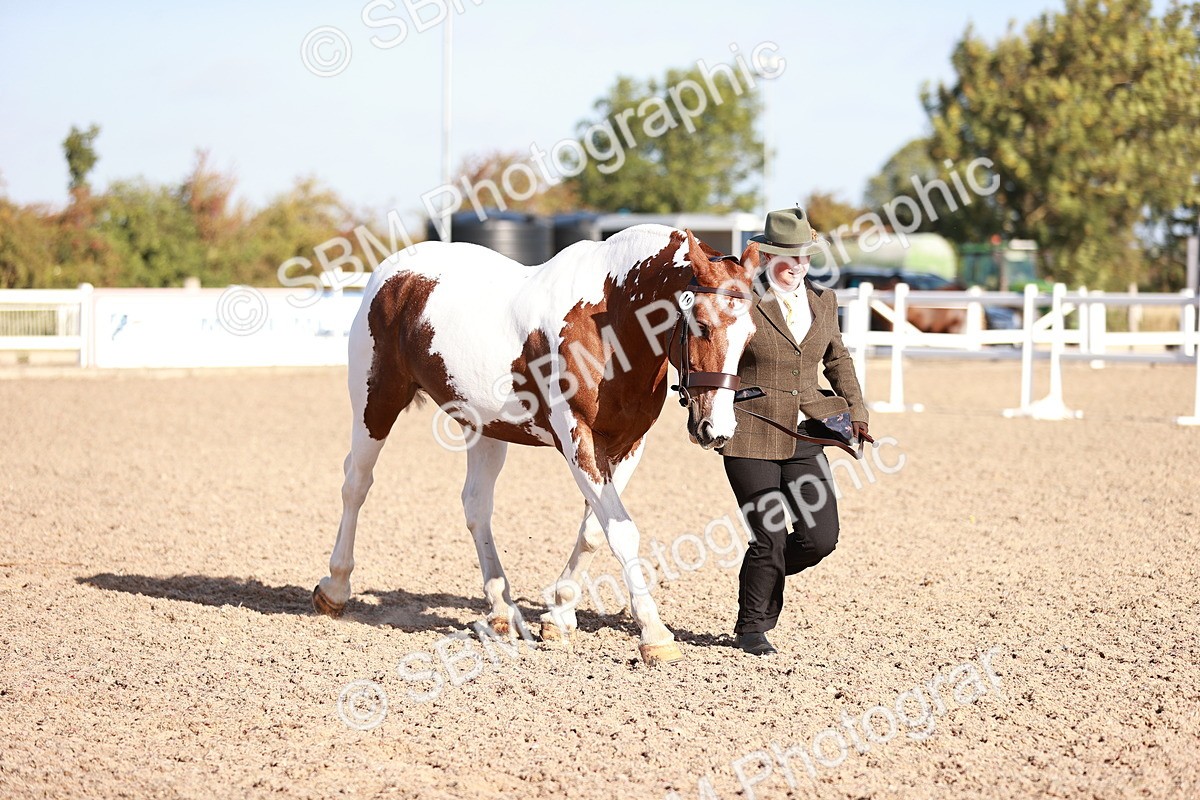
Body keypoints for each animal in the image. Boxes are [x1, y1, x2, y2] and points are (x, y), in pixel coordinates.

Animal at [311, 225, 760, 665]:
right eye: (701, 324)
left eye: (750, 335)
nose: (716, 430)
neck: (609, 323)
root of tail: (393, 272)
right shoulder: (578, 439)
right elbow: (621, 532)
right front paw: (655, 634)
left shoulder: (628, 445)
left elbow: (595, 530)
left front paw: (557, 617)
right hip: (375, 403)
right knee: (356, 484)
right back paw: (335, 588)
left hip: (485, 429)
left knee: (476, 506)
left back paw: (501, 611)